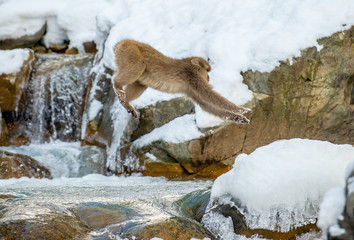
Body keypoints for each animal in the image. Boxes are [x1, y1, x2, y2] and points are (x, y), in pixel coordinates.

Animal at [112, 39, 250, 124]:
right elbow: (210, 96)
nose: (208, 77)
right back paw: (116, 85)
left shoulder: (191, 89)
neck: (191, 68)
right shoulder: (194, 79)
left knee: (140, 84)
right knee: (138, 66)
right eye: (207, 70)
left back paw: (126, 103)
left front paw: (238, 118)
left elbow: (206, 104)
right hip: (130, 51)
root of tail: (122, 42)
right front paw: (241, 109)